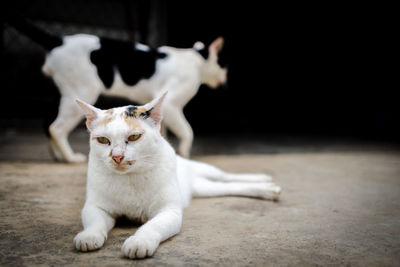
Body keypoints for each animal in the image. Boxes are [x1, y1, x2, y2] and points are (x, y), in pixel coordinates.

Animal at [5, 18, 228, 163]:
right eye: (223, 65)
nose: (225, 77)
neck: (196, 60)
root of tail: (59, 40)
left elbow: (160, 130)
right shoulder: (172, 105)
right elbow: (187, 131)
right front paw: (184, 152)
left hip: (65, 94)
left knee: (47, 123)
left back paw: (59, 155)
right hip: (82, 93)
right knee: (56, 127)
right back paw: (69, 158)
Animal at [72, 92, 282, 260]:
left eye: (134, 137)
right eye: (102, 140)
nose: (117, 157)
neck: (130, 179)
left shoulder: (169, 211)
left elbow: (152, 226)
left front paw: (140, 241)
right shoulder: (94, 207)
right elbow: (95, 222)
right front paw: (88, 236)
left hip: (208, 170)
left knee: (227, 176)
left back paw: (264, 180)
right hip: (205, 189)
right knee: (230, 187)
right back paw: (267, 189)